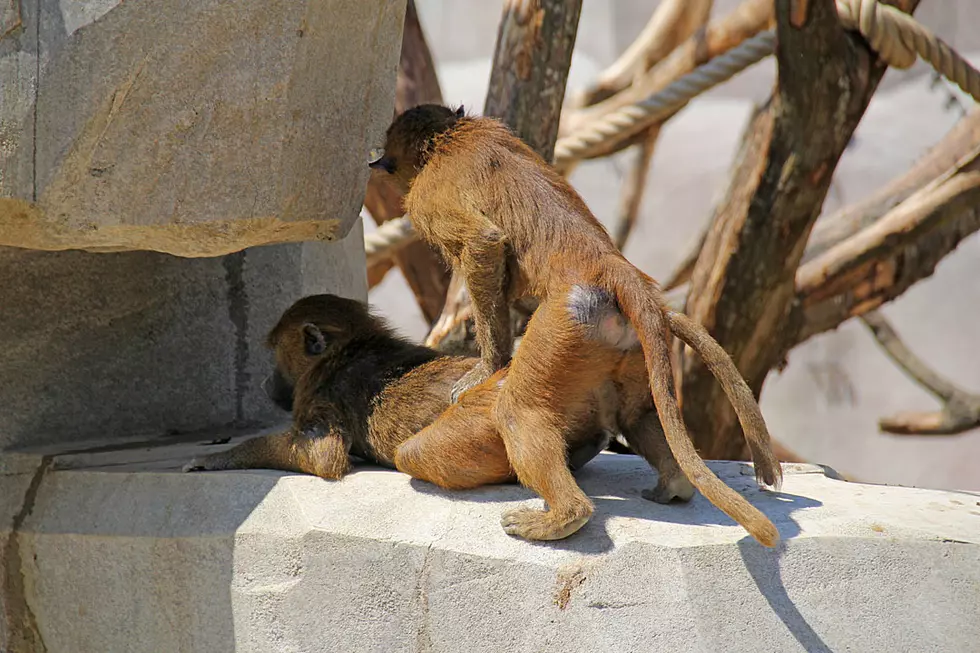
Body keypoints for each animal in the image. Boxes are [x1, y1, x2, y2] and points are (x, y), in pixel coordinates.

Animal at [186, 292, 772, 544]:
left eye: (276, 357)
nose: (269, 385)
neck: (347, 349)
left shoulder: (321, 397)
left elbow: (325, 457)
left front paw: (219, 458)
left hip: (512, 391)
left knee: (422, 453)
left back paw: (561, 509)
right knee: (638, 416)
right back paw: (662, 478)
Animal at [372, 104, 784, 548]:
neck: (452, 137)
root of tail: (611, 267)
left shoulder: (426, 195)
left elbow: (485, 243)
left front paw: (486, 368)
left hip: (565, 326)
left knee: (518, 410)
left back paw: (565, 516)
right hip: (625, 345)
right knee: (636, 413)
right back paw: (673, 484)